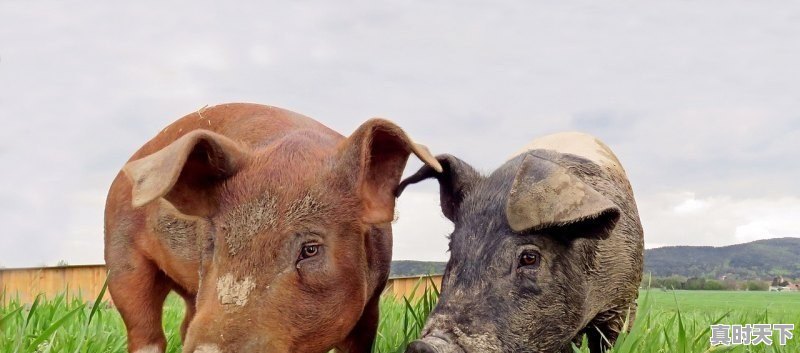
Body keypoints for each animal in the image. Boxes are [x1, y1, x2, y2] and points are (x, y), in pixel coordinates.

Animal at [103, 103, 440, 352]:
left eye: (311, 249)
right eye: (213, 243)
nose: (210, 350)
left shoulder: (371, 303)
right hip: (121, 260)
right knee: (144, 330)